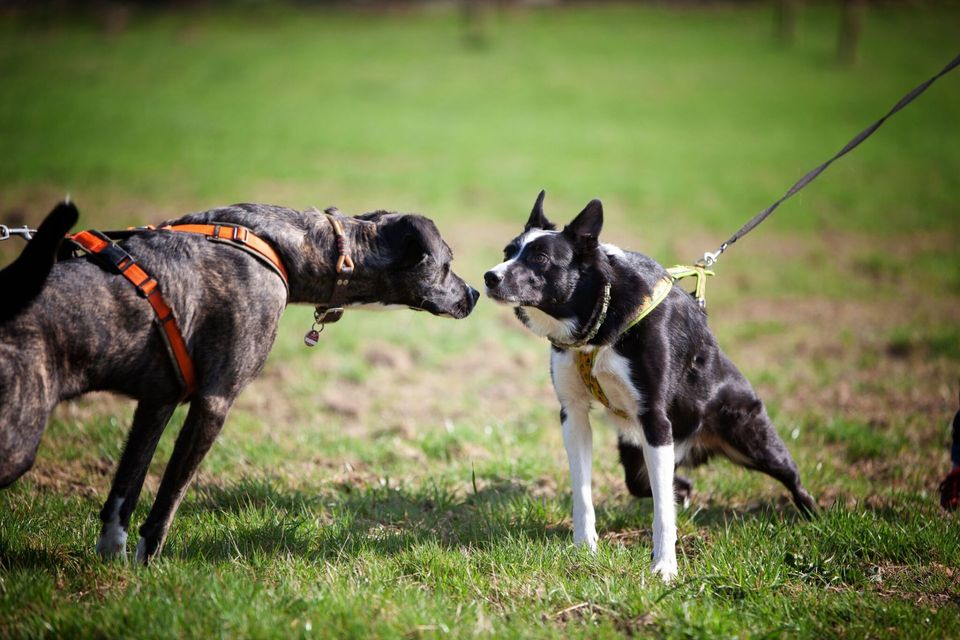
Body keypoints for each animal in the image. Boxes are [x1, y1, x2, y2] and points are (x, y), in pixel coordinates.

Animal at [0, 200, 480, 560]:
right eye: (447, 264)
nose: (475, 293)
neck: (305, 247)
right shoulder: (214, 402)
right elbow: (169, 497)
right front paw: (146, 565)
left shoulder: (157, 401)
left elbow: (126, 487)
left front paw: (113, 562)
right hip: (18, 438)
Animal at [484, 190, 812, 580]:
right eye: (508, 252)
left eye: (540, 258)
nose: (489, 276)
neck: (601, 313)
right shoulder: (573, 415)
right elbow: (583, 490)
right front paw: (584, 548)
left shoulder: (655, 418)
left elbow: (662, 514)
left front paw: (665, 566)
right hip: (637, 451)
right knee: (659, 483)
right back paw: (683, 490)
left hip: (749, 436)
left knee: (791, 477)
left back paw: (816, 516)